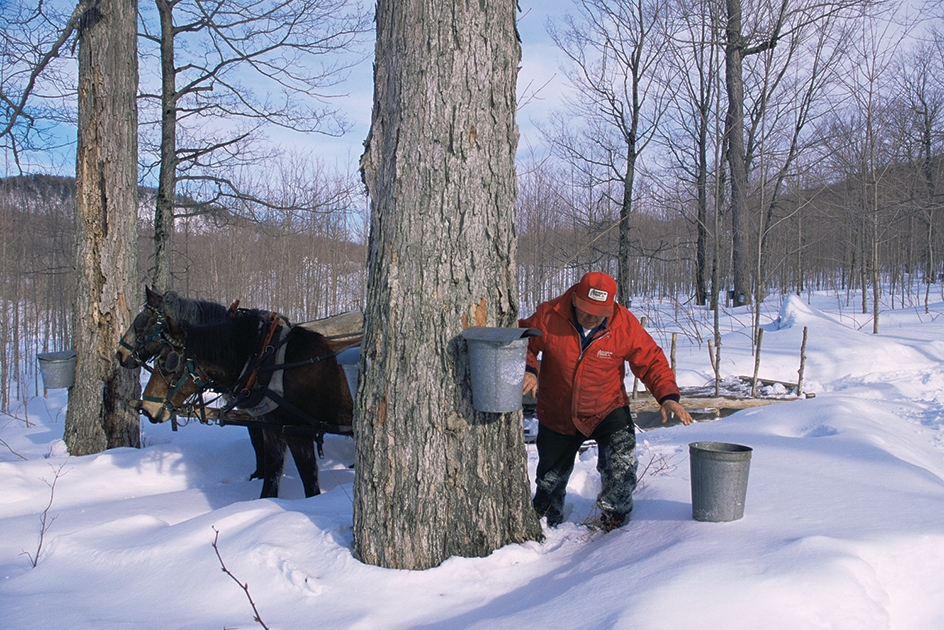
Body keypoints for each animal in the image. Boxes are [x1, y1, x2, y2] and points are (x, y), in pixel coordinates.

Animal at [139, 310, 358, 498]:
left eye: (167, 362)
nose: (146, 408)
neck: (264, 363)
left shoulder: (297, 431)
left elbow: (309, 480)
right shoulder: (273, 428)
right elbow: (271, 473)